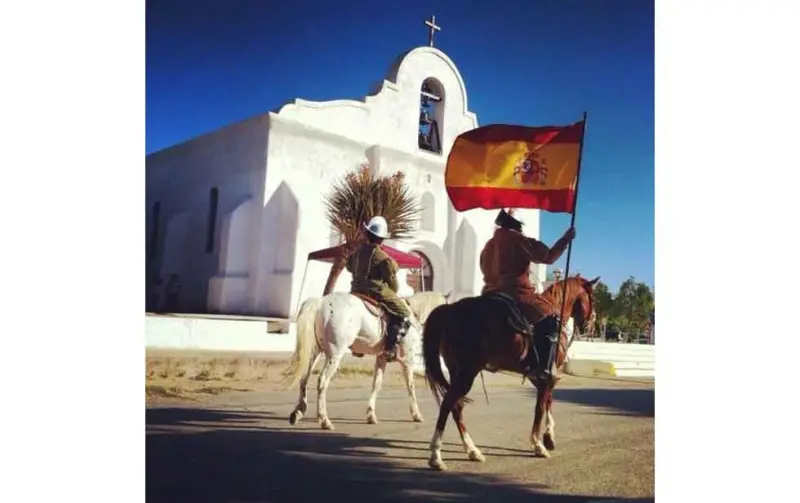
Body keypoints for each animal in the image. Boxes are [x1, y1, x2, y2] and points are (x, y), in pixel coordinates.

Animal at [284, 290, 451, 430]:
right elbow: (411, 386)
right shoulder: (407, 361)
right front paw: (416, 414)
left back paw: (298, 412)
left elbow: (377, 384)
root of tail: (321, 302)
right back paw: (324, 420)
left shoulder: (382, 358)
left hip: (315, 352)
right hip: (335, 354)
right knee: (322, 382)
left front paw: (371, 415)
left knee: (304, 378)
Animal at [422, 275, 598, 471]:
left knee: (456, 407)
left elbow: (548, 401)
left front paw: (549, 436)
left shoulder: (541, 376)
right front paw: (539, 444)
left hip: (457, 373)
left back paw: (472, 450)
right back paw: (436, 455)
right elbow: (540, 407)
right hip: (466, 374)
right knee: (448, 405)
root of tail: (451, 310)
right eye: (593, 298)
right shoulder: (546, 376)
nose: (590, 326)